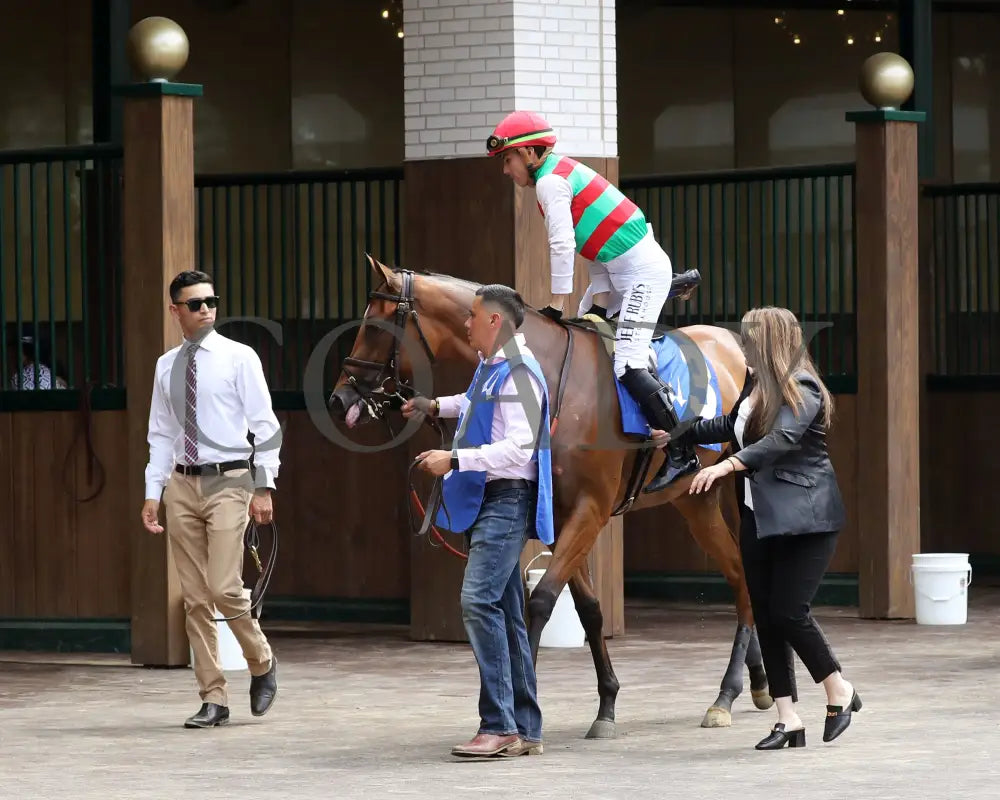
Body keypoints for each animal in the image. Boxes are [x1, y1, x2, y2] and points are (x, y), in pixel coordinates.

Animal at [328, 256, 772, 736]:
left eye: (373, 327)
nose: (339, 399)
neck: (552, 380)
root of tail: (734, 344)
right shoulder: (558, 515)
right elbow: (589, 608)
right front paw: (606, 705)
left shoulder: (589, 510)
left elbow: (539, 602)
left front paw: (526, 715)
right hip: (696, 500)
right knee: (740, 575)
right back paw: (755, 683)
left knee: (743, 579)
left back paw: (726, 694)